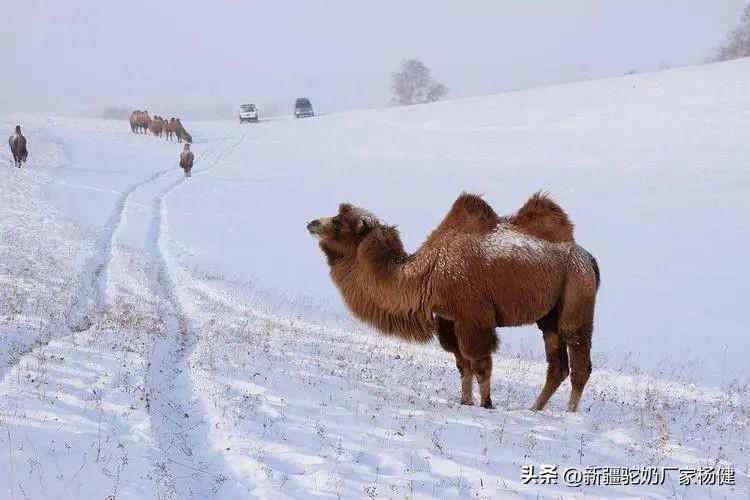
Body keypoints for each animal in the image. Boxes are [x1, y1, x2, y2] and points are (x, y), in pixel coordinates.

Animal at [308, 191, 604, 410]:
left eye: (337, 222)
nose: (311, 223)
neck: (427, 273)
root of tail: (589, 259)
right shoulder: (448, 320)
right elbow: (463, 366)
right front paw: (465, 402)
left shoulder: (474, 317)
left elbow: (481, 364)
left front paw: (487, 404)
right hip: (550, 315)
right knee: (557, 366)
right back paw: (534, 409)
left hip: (576, 295)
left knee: (579, 362)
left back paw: (569, 414)